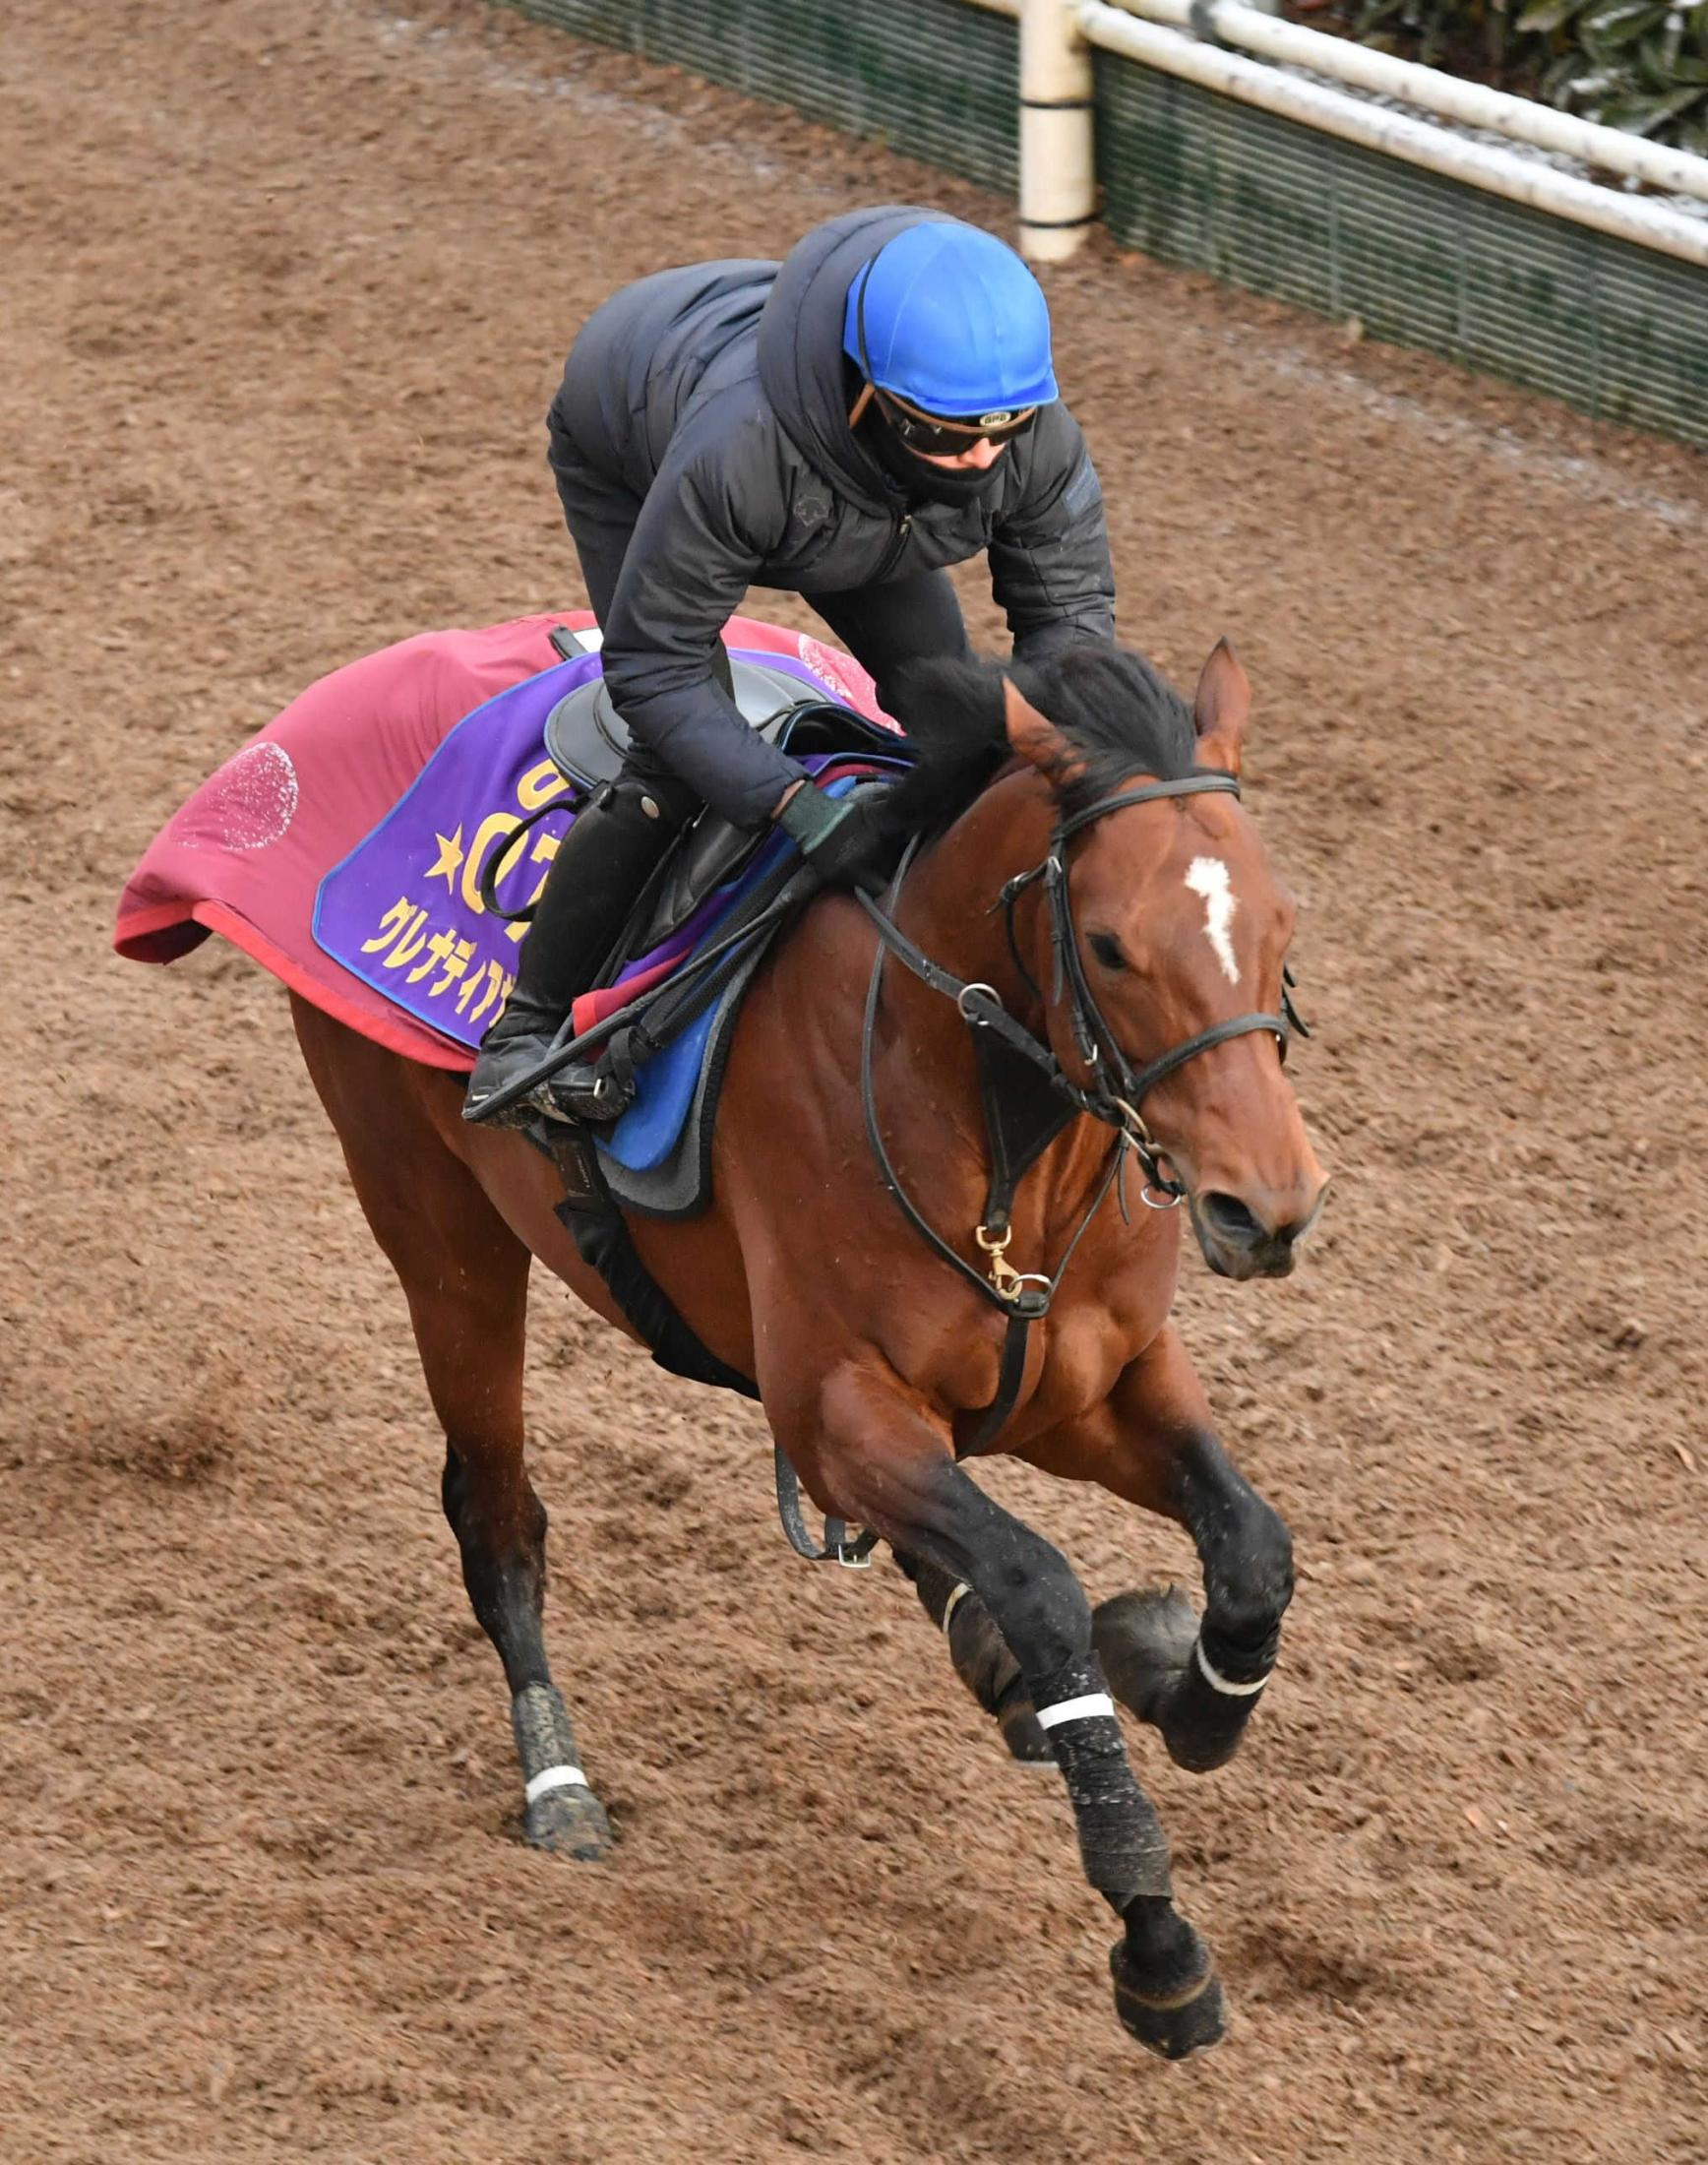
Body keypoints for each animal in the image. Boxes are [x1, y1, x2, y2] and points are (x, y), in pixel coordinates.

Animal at [243, 632, 1315, 2061]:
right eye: (1108, 943)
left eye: (1277, 925)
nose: (1267, 1205)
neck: (998, 1135)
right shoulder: (832, 1407)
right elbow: (1037, 1581)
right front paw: (1155, 1936)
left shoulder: (1093, 1385)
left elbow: (1249, 1547)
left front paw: (1166, 1674)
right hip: (440, 1230)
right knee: (497, 1514)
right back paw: (557, 1775)